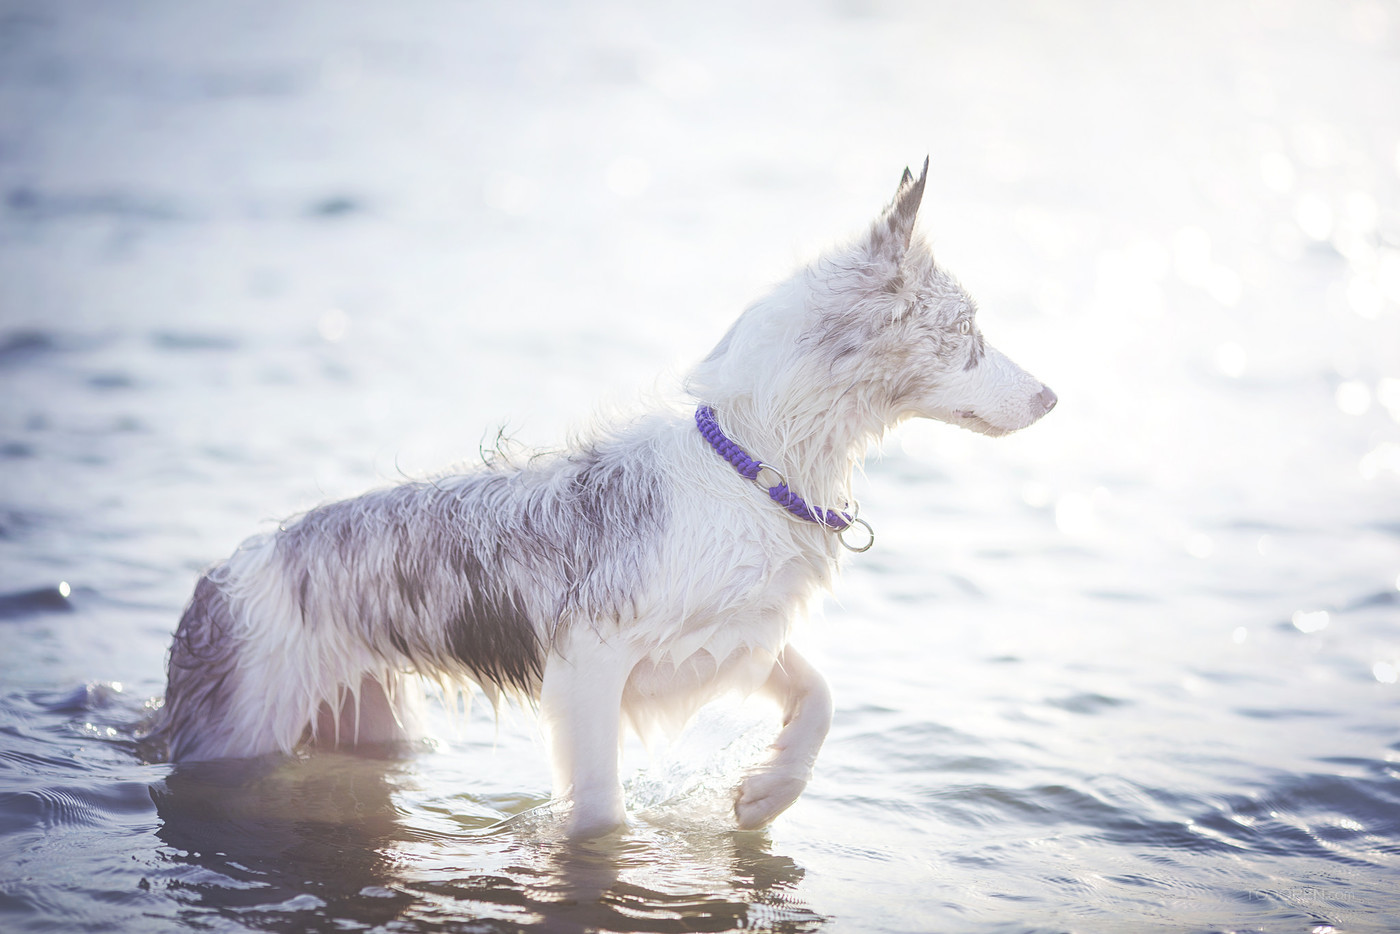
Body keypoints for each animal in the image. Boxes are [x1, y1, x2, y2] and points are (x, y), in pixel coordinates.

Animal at [150, 161, 1052, 840]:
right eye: (967, 335)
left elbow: (821, 694)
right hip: (240, 727)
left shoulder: (726, 636)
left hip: (370, 716)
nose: (1052, 397)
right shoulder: (589, 663)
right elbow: (601, 819)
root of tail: (219, 575)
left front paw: (766, 794)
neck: (752, 466)